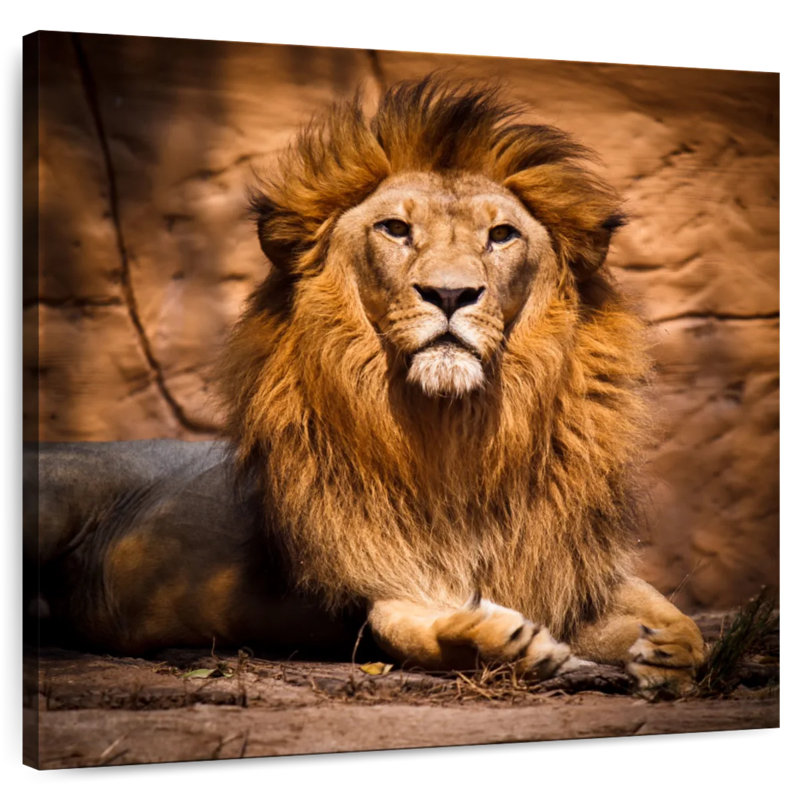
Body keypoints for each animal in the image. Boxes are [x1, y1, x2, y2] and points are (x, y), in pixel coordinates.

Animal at [28, 78, 704, 689]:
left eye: (502, 235)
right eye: (396, 230)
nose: (450, 294)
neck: (453, 433)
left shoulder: (566, 563)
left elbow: (664, 612)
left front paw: (669, 648)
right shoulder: (381, 582)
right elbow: (416, 629)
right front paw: (506, 639)